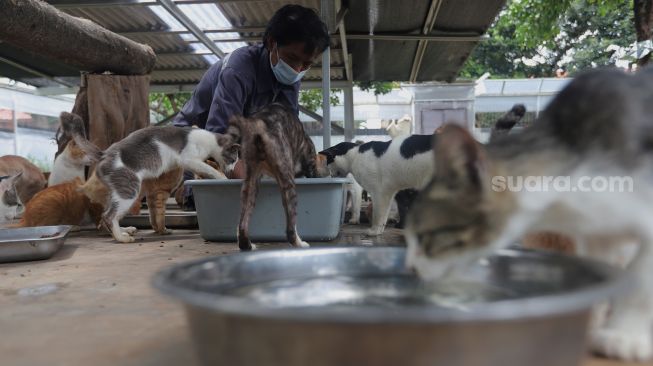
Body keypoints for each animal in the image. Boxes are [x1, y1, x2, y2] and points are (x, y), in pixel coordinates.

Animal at [63, 111, 239, 243]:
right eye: (234, 160)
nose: (232, 170)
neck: (210, 141)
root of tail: (104, 154)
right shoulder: (188, 159)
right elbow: (211, 169)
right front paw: (224, 178)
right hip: (130, 189)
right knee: (109, 216)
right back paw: (122, 238)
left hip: (116, 193)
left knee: (106, 215)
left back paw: (124, 230)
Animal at [404, 67, 652, 362]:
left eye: (425, 237)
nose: (410, 269)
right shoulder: (598, 234)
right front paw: (592, 321)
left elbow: (642, 281)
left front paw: (625, 334)